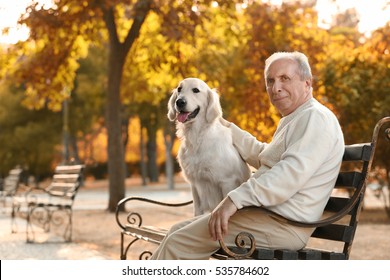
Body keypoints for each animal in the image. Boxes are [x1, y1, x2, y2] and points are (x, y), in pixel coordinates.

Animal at [167, 77, 251, 215]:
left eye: (196, 90)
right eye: (179, 89)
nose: (179, 102)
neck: (197, 137)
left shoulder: (227, 181)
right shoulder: (195, 185)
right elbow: (197, 212)